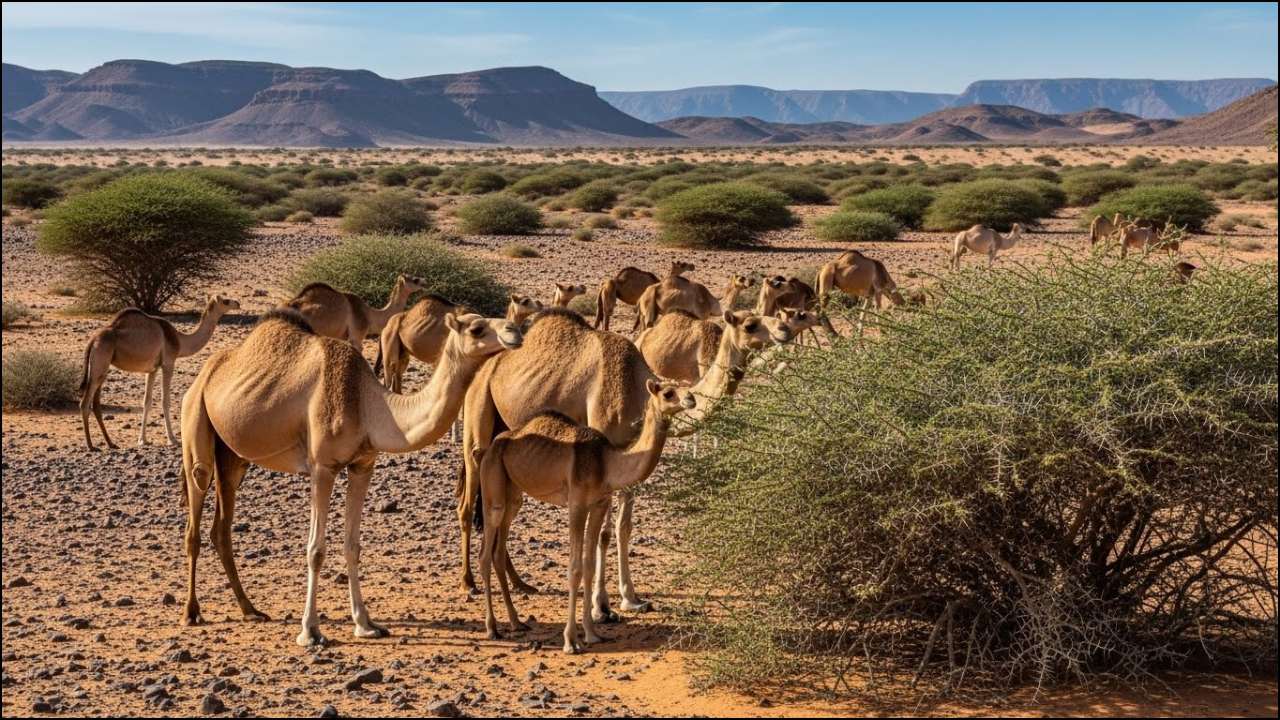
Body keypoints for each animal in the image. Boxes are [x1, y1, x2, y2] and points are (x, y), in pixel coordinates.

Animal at [80, 295, 240, 451]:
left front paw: (142, 440)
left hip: (102, 369)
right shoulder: (168, 363)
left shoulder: (153, 369)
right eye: (225, 301)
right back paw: (90, 445)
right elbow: (165, 401)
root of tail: (92, 340)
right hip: (100, 364)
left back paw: (110, 443)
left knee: (96, 404)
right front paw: (172, 439)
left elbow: (147, 401)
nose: (237, 303)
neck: (180, 341)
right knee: (85, 403)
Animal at [179, 309, 521, 646]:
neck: (369, 406)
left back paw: (250, 609)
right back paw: (192, 612)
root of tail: (205, 373)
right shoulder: (322, 466)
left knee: (221, 526)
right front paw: (311, 631)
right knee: (196, 508)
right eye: (477, 329)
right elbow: (316, 550)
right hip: (195, 422)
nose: (514, 332)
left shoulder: (362, 465)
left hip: (233, 458)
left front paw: (366, 624)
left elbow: (352, 546)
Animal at [458, 307, 782, 622]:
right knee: (468, 500)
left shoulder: (628, 457)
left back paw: (520, 582)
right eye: (751, 324)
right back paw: (469, 582)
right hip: (478, 410)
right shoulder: (602, 453)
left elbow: (623, 527)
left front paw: (631, 599)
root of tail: (486, 365)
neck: (637, 391)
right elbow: (602, 534)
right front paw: (600, 607)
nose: (783, 329)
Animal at [477, 379, 695, 653]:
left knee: (498, 549)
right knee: (485, 554)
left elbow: (589, 566)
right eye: (668, 393)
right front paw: (571, 641)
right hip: (493, 487)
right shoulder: (577, 505)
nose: (691, 399)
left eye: (686, 386)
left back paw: (516, 622)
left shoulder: (599, 504)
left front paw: (592, 634)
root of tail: (490, 447)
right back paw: (492, 628)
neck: (607, 463)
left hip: (514, 495)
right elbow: (575, 569)